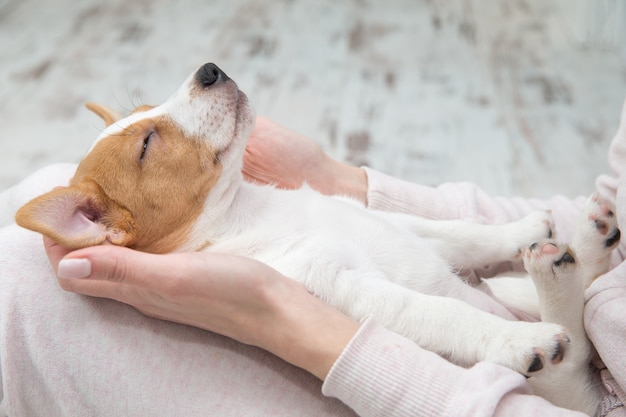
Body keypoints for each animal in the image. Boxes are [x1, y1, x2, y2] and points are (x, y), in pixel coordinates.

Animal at [14, 61, 616, 412]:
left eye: (148, 111)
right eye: (146, 144)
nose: (209, 68)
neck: (251, 212)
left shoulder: (396, 226)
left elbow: (458, 231)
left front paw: (522, 227)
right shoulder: (347, 290)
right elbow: (443, 312)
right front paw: (514, 340)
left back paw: (578, 241)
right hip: (556, 383)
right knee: (573, 351)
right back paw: (560, 269)